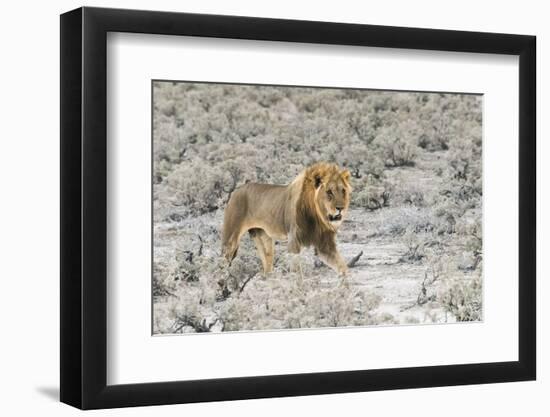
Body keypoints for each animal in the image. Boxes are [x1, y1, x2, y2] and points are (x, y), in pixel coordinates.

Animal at [222, 162, 352, 276]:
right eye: (329, 192)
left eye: (343, 191)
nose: (341, 208)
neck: (318, 216)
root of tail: (236, 190)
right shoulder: (294, 239)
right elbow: (296, 270)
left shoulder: (325, 244)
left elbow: (342, 267)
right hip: (231, 239)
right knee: (223, 261)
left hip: (263, 237)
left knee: (267, 264)